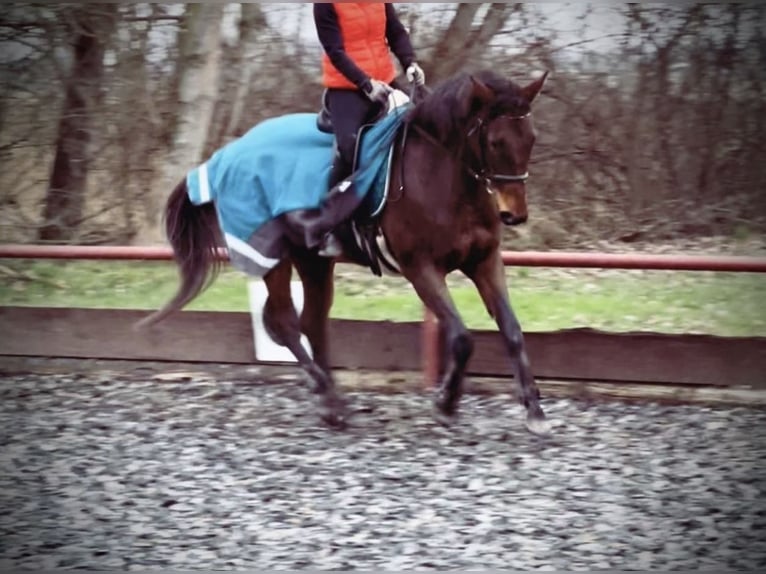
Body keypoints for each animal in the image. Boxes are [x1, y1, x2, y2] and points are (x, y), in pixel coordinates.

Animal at [141, 68, 552, 436]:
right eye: (496, 142)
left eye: (531, 138)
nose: (514, 215)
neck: (444, 176)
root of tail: (226, 154)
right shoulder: (421, 267)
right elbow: (462, 338)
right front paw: (446, 404)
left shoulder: (484, 261)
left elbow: (512, 331)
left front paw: (534, 411)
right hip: (273, 255)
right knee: (285, 323)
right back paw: (331, 401)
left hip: (313, 261)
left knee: (311, 322)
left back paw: (330, 399)